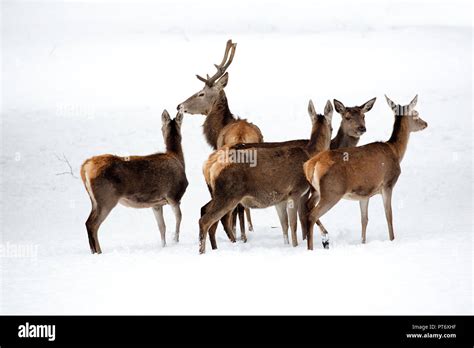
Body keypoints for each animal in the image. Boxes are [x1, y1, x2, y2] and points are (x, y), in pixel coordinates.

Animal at [79, 110, 187, 254]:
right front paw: (175, 241)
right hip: (106, 198)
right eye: (161, 127)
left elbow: (161, 227)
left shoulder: (156, 204)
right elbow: (179, 219)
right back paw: (98, 252)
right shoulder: (174, 196)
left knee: (88, 222)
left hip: (95, 200)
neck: (178, 158)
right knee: (92, 224)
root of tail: (85, 166)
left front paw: (164, 245)